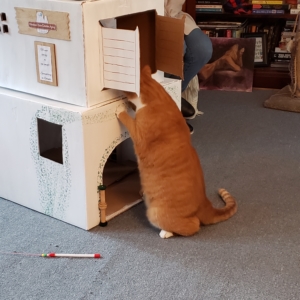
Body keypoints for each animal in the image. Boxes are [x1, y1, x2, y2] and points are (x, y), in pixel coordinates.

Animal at [116, 66, 237, 239]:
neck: (156, 96)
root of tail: (205, 203)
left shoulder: (138, 134)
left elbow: (127, 119)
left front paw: (121, 110)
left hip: (155, 213)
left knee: (193, 225)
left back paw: (166, 232)